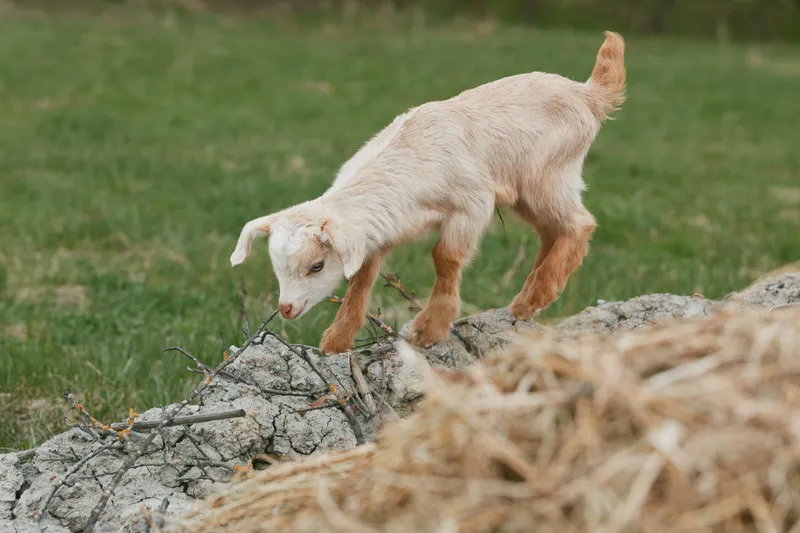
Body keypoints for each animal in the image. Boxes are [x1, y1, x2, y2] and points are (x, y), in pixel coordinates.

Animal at [230, 31, 626, 354]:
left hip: (547, 175)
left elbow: (445, 257)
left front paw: (430, 328)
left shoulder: (471, 205)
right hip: (527, 192)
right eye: (276, 265)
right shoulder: (381, 228)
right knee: (551, 231)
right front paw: (337, 340)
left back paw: (538, 294)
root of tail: (588, 93)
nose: (286, 309)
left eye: (316, 265)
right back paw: (527, 300)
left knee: (580, 224)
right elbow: (363, 276)